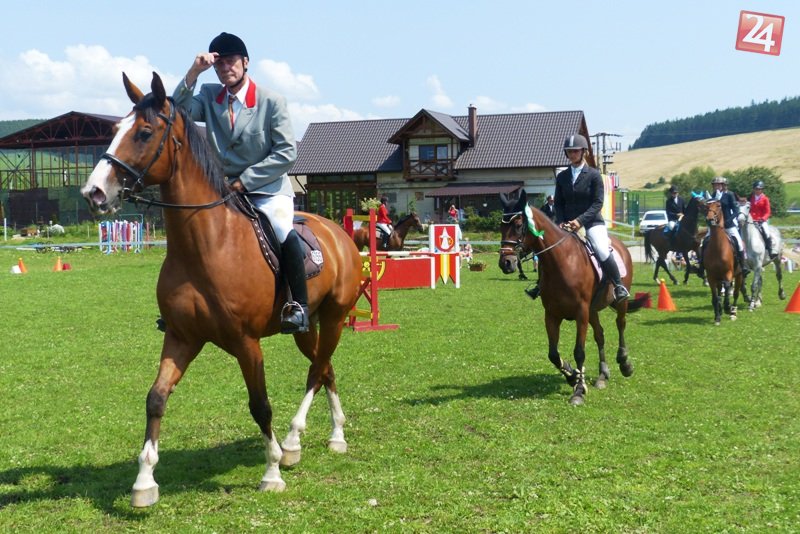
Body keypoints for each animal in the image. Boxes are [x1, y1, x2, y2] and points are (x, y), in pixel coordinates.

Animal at [80, 73, 363, 507]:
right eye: (113, 131)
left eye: (144, 133)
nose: (94, 193)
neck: (207, 245)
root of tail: (339, 232)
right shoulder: (182, 337)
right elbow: (155, 397)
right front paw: (144, 482)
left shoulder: (247, 342)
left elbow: (260, 405)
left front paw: (271, 472)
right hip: (306, 327)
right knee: (324, 367)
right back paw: (325, 438)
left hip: (333, 318)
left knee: (317, 370)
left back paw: (299, 440)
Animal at [498, 191, 647, 405]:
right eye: (500, 227)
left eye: (518, 225)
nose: (506, 263)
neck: (562, 261)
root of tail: (620, 244)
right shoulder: (551, 315)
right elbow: (553, 354)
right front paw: (572, 375)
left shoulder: (580, 313)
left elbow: (579, 351)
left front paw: (578, 391)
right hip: (593, 310)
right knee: (600, 335)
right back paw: (602, 375)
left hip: (619, 302)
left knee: (620, 325)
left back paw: (624, 364)